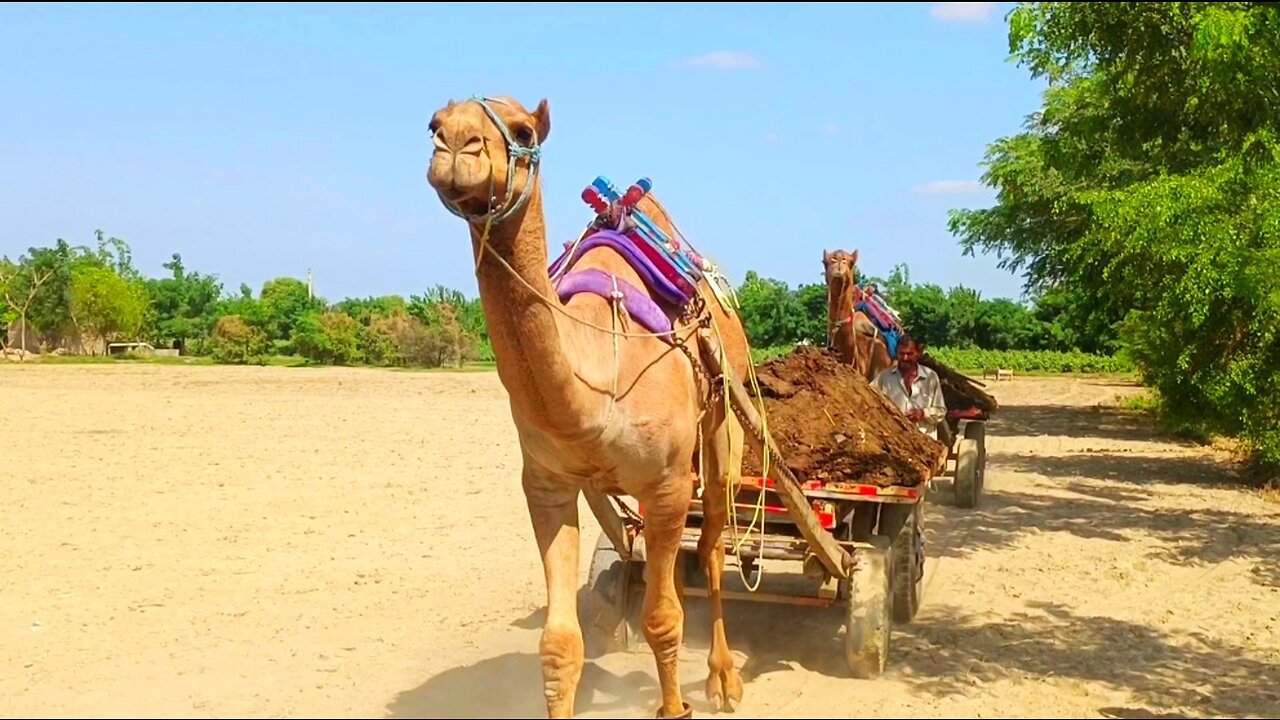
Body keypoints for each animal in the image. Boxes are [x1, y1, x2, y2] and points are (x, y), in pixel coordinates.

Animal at [424, 95, 752, 717]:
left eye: (524, 130)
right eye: (434, 123)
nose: (457, 144)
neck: (598, 380)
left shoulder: (668, 482)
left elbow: (663, 619)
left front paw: (678, 703)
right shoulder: (547, 483)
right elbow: (559, 645)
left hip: (725, 428)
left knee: (713, 546)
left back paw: (722, 677)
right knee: (647, 553)